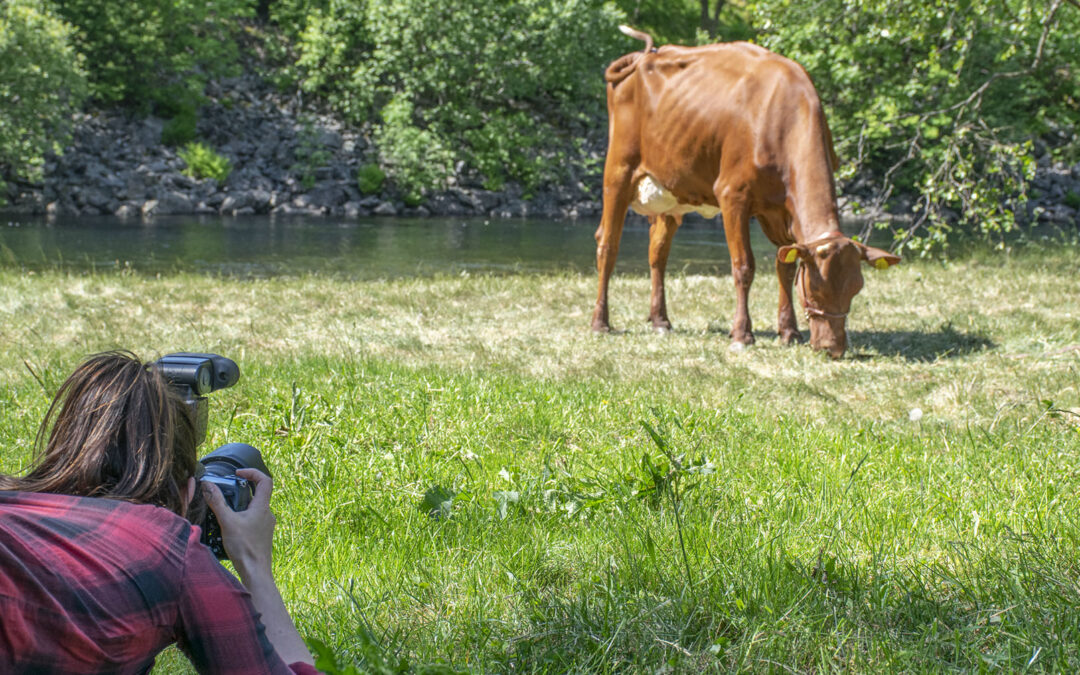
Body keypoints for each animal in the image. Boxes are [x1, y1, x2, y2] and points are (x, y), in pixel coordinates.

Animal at [591, 27, 902, 358]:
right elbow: (744, 266)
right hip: (618, 171)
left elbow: (784, 266)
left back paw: (660, 320)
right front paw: (742, 333)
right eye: (816, 286)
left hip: (672, 191)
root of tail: (646, 55)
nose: (833, 348)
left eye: (857, 287)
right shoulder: (733, 195)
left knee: (658, 253)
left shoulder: (781, 209)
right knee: (607, 244)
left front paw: (789, 332)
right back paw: (601, 322)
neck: (782, 118)